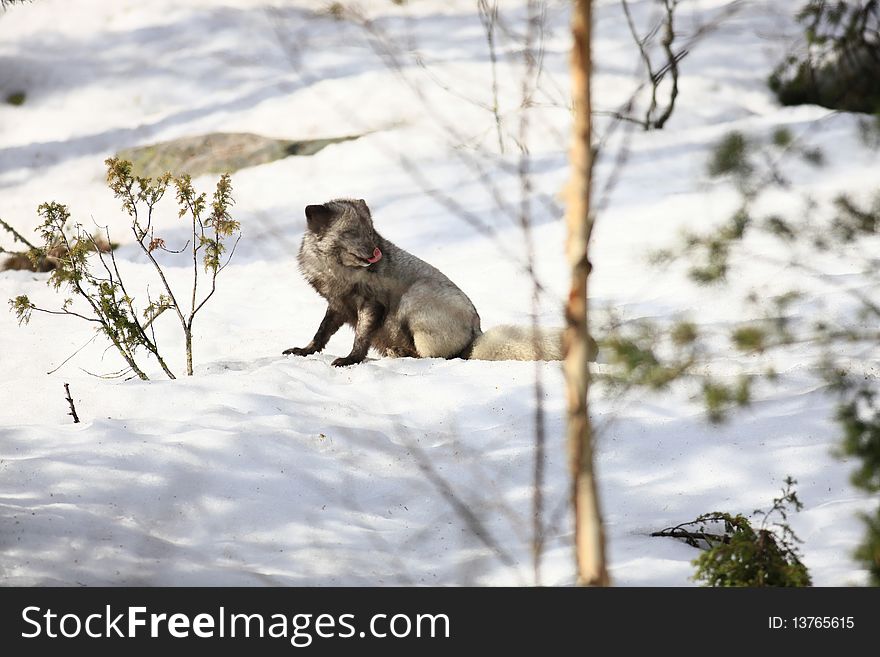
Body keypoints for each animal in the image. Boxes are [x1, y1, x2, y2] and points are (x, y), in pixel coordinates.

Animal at [286, 197, 568, 366]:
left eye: (371, 230)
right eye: (351, 232)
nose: (375, 252)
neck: (337, 271)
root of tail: (475, 333)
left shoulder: (371, 304)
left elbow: (361, 338)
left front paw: (350, 359)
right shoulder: (337, 304)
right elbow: (321, 333)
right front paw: (304, 351)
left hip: (415, 298)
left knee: (439, 357)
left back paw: (404, 355)